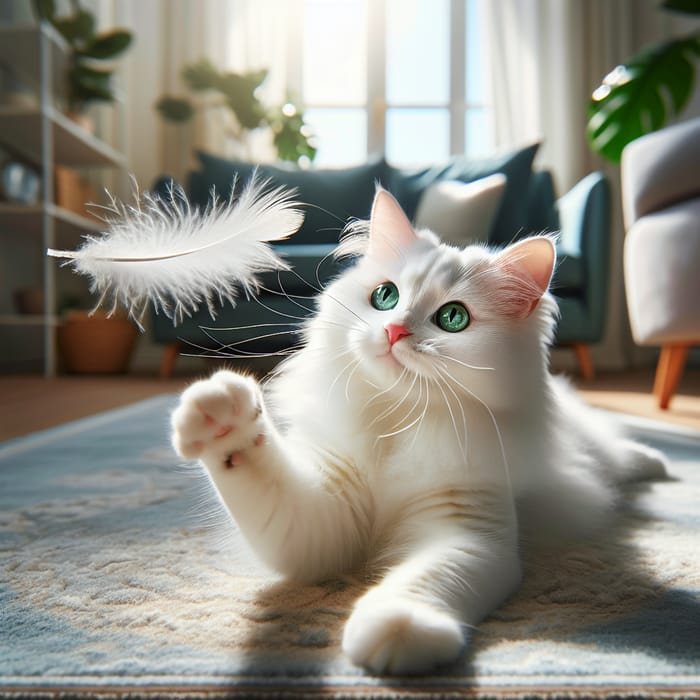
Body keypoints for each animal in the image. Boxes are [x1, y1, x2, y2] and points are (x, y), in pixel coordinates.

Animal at [171, 186, 668, 672]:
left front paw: (399, 626)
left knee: (617, 454)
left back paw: (655, 464)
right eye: (385, 297)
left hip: (591, 448)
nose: (394, 331)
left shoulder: (469, 530)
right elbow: (261, 473)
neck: (398, 421)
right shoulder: (321, 518)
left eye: (453, 318)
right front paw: (223, 414)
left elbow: (427, 579)